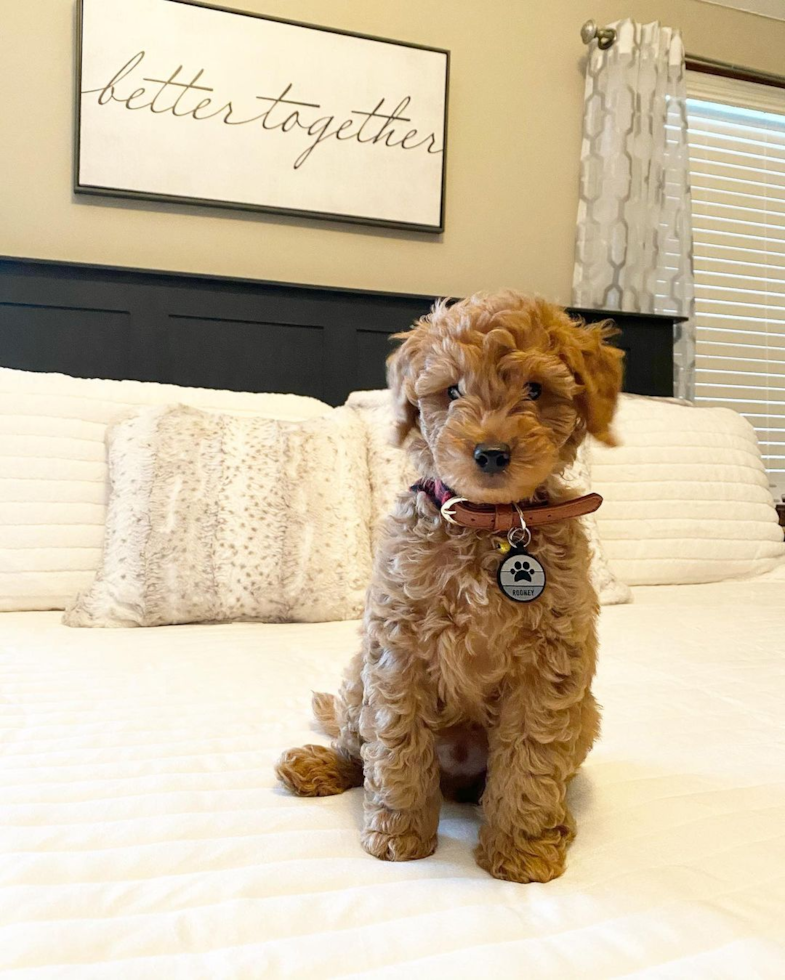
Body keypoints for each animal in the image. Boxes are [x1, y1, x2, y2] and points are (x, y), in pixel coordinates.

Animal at [278, 294, 620, 884]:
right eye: (452, 391)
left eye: (535, 390)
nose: (491, 452)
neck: (491, 525)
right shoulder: (399, 649)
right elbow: (395, 747)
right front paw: (398, 837)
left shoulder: (549, 667)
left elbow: (530, 760)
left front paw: (521, 851)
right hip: (357, 678)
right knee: (355, 744)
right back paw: (319, 765)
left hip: (585, 716)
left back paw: (557, 822)